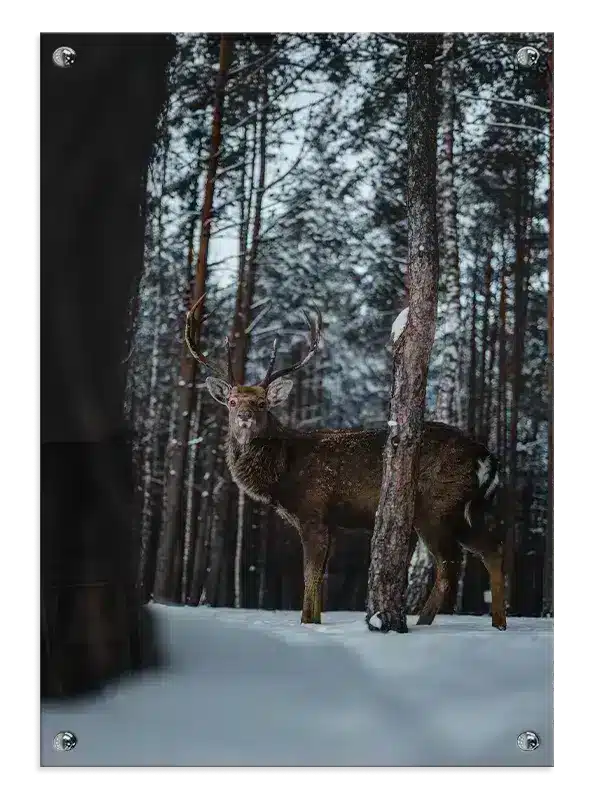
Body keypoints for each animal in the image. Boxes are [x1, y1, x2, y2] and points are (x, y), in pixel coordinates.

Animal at [185, 296, 506, 630]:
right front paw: (316, 621)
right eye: (232, 401)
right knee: (493, 549)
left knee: (450, 565)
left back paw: (423, 622)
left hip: (436, 507)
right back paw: (497, 622)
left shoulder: (313, 511)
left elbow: (310, 576)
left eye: (262, 403)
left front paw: (306, 623)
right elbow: (321, 580)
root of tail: (487, 456)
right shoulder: (332, 522)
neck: (283, 475)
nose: (245, 417)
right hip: (466, 508)